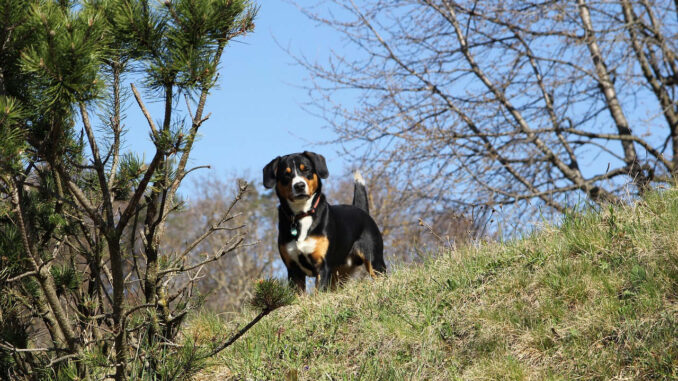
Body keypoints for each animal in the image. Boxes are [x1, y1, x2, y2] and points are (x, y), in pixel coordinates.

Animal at [262, 151, 386, 290]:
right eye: (286, 174)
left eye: (306, 169)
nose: (299, 185)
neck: (302, 215)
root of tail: (361, 210)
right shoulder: (294, 270)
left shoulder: (323, 265)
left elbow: (319, 291)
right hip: (339, 274)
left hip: (374, 261)